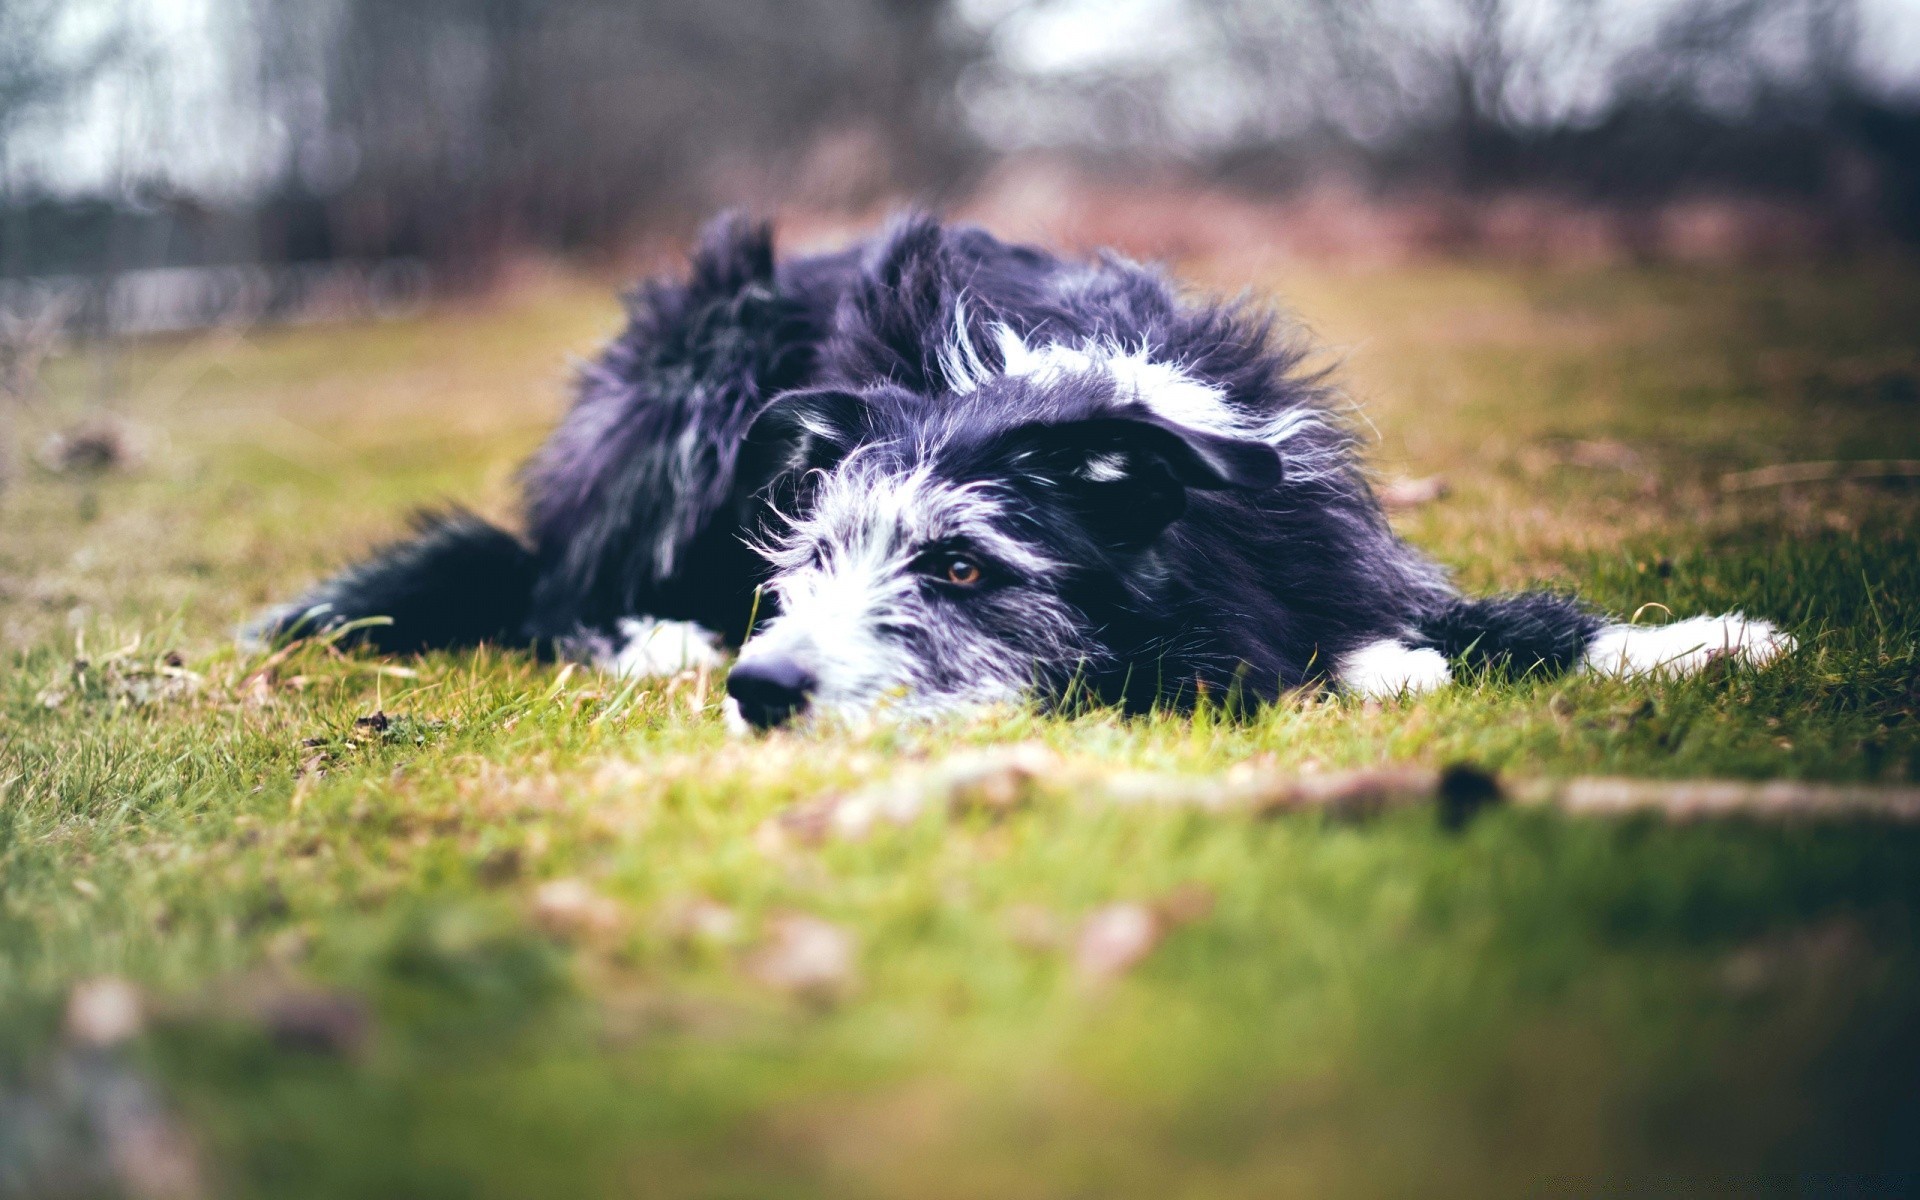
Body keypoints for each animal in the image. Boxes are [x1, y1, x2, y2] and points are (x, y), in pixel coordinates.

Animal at [247, 210, 1789, 725]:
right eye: (815, 560)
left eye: (961, 567)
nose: (767, 683)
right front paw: (1374, 668)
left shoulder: (1317, 532)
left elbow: (1492, 614)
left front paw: (1694, 638)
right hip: (696, 358)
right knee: (556, 592)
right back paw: (657, 637)